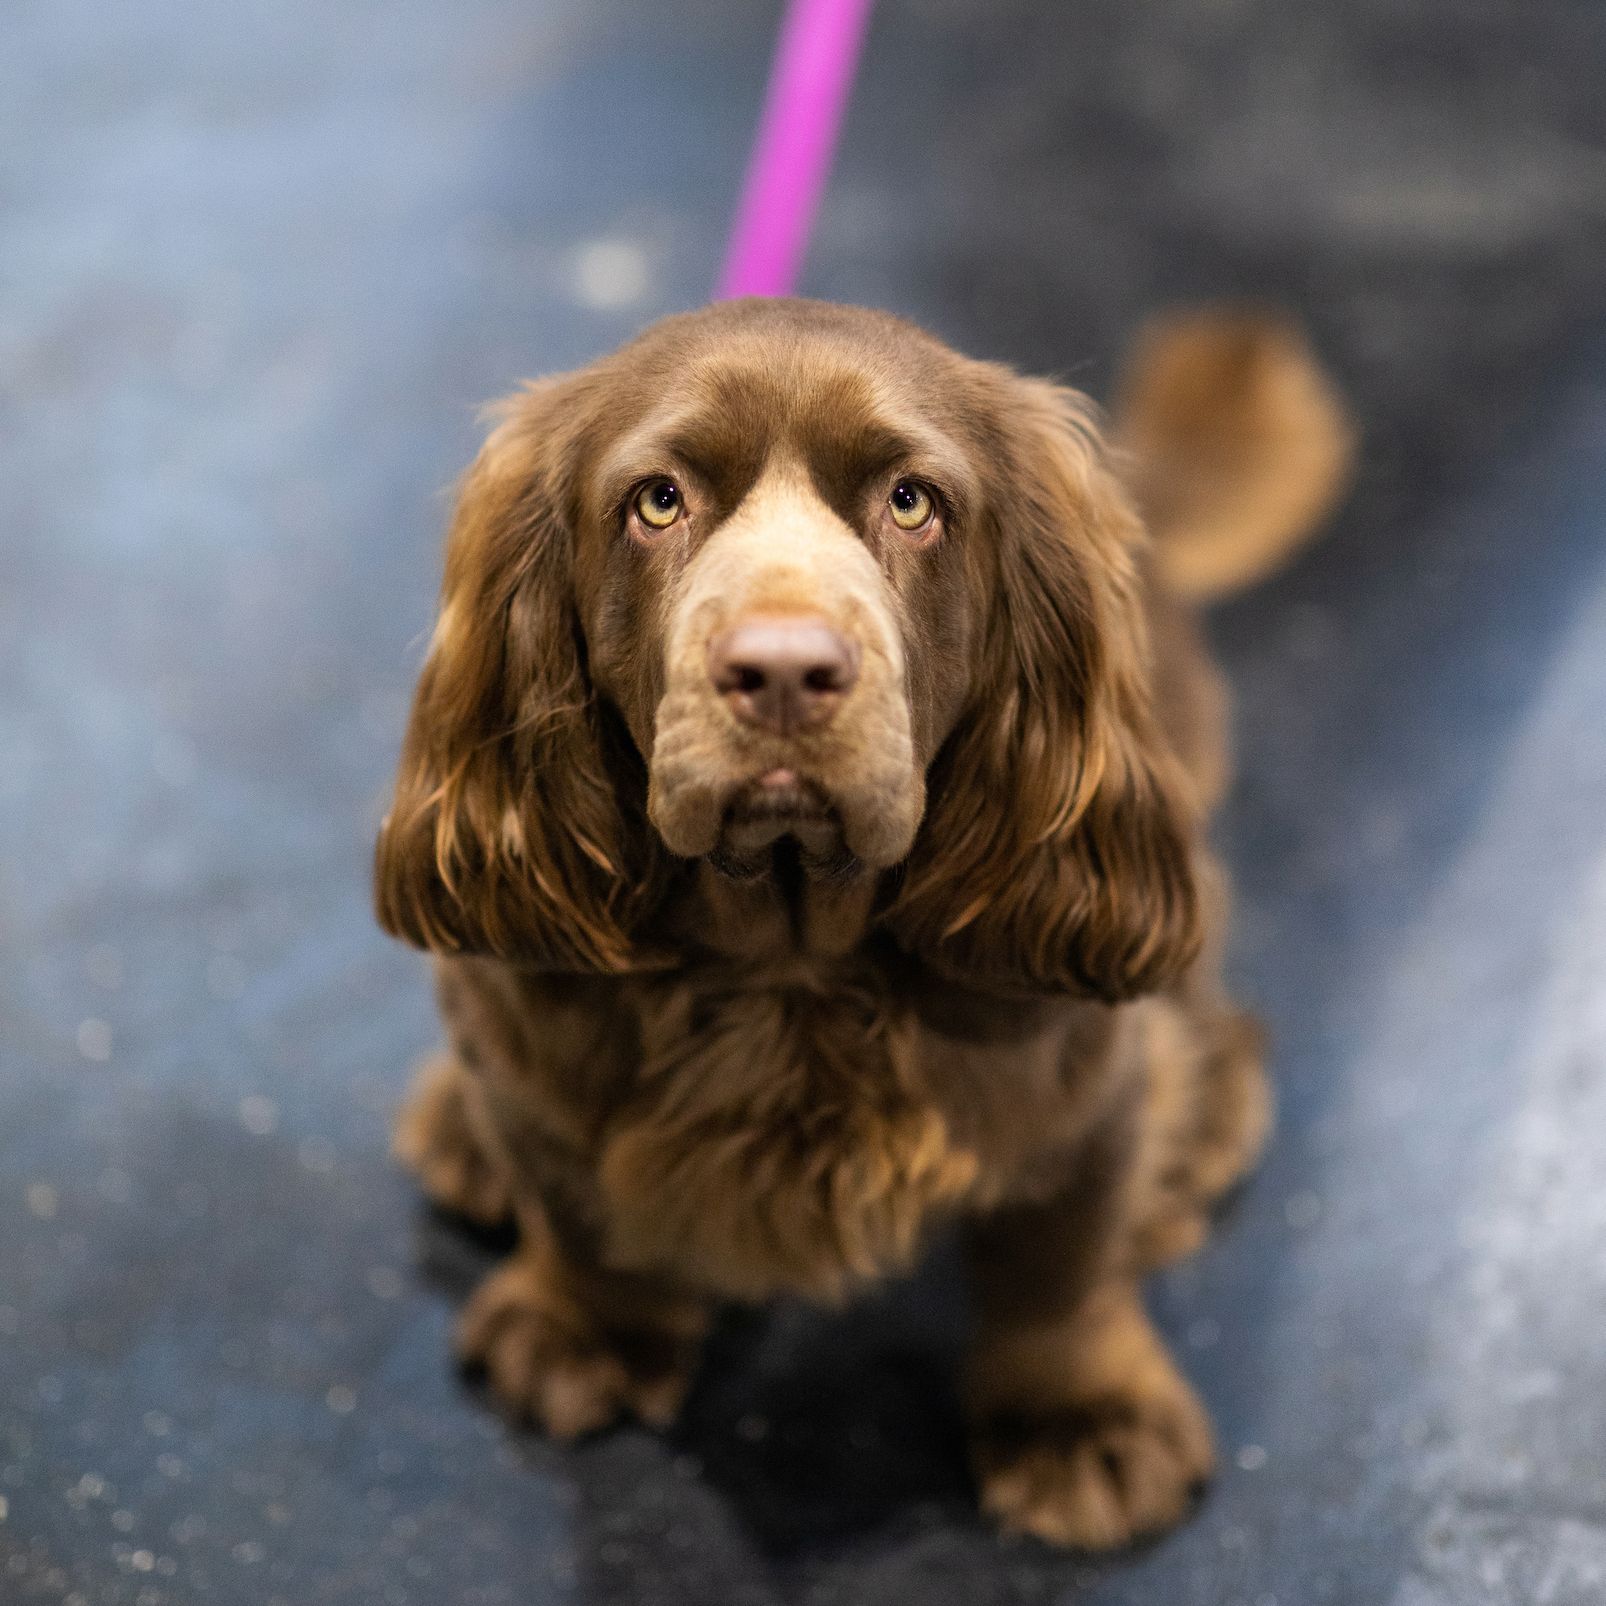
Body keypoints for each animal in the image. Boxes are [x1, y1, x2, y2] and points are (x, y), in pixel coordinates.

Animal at [375, 295, 1355, 1548]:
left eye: (910, 500)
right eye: (657, 500)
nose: (785, 671)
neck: (789, 957)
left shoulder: (1082, 1085)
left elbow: (1061, 1267)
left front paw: (1081, 1418)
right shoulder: (534, 1047)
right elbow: (575, 1208)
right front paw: (584, 1329)